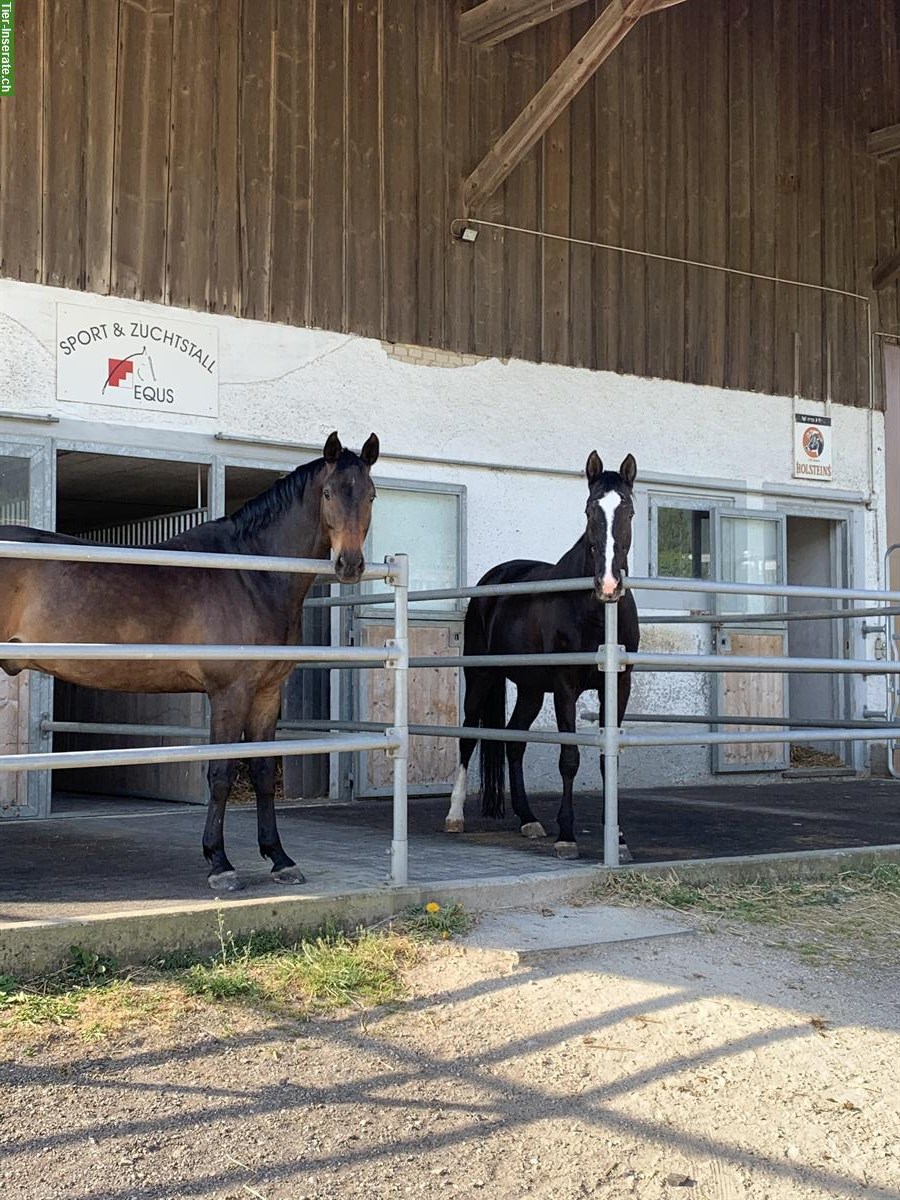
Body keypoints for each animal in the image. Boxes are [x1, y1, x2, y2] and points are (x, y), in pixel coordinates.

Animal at [0, 432, 381, 892]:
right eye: (328, 493)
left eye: (371, 495)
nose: (350, 564)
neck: (251, 573)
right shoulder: (229, 693)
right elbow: (219, 774)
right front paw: (219, 864)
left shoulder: (267, 694)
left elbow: (263, 771)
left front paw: (279, 858)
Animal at [444, 453, 643, 859]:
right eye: (589, 508)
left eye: (628, 510)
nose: (609, 585)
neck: (596, 615)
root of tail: (494, 579)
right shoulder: (566, 685)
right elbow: (569, 759)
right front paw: (567, 835)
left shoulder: (618, 686)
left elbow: (607, 758)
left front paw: (618, 839)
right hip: (481, 678)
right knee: (468, 736)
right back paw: (455, 815)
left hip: (532, 690)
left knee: (513, 741)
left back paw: (528, 819)